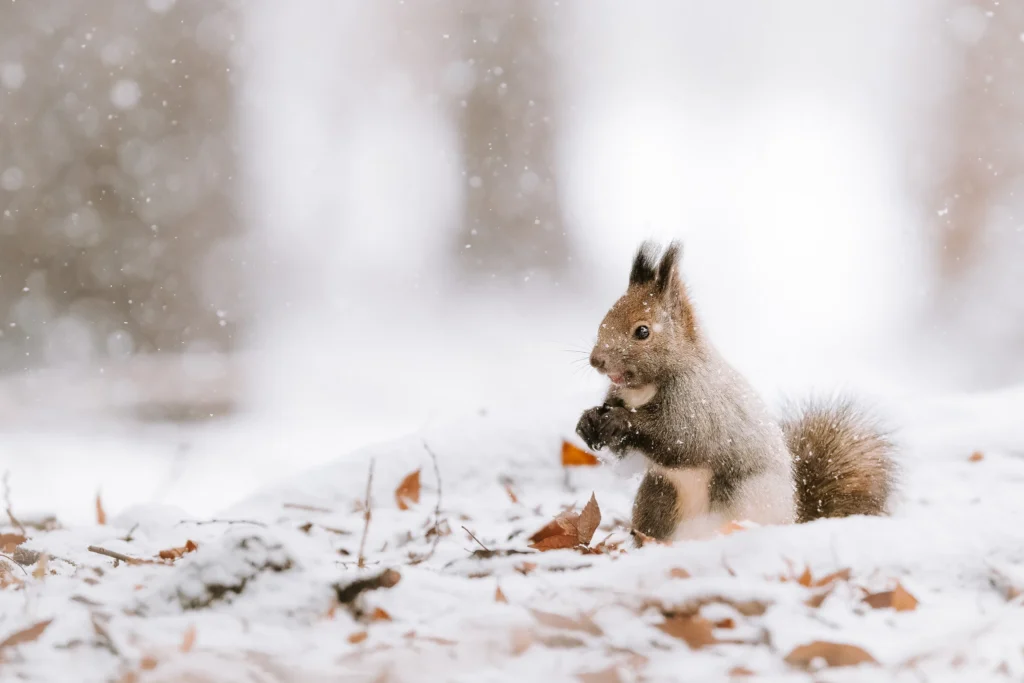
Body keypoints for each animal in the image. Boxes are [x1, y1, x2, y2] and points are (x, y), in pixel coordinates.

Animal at [576, 240, 897, 542]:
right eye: (605, 317)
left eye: (642, 331)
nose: (596, 361)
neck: (644, 386)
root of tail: (794, 517)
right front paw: (588, 421)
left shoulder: (696, 402)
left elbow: (679, 438)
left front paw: (620, 420)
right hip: (658, 494)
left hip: (748, 497)